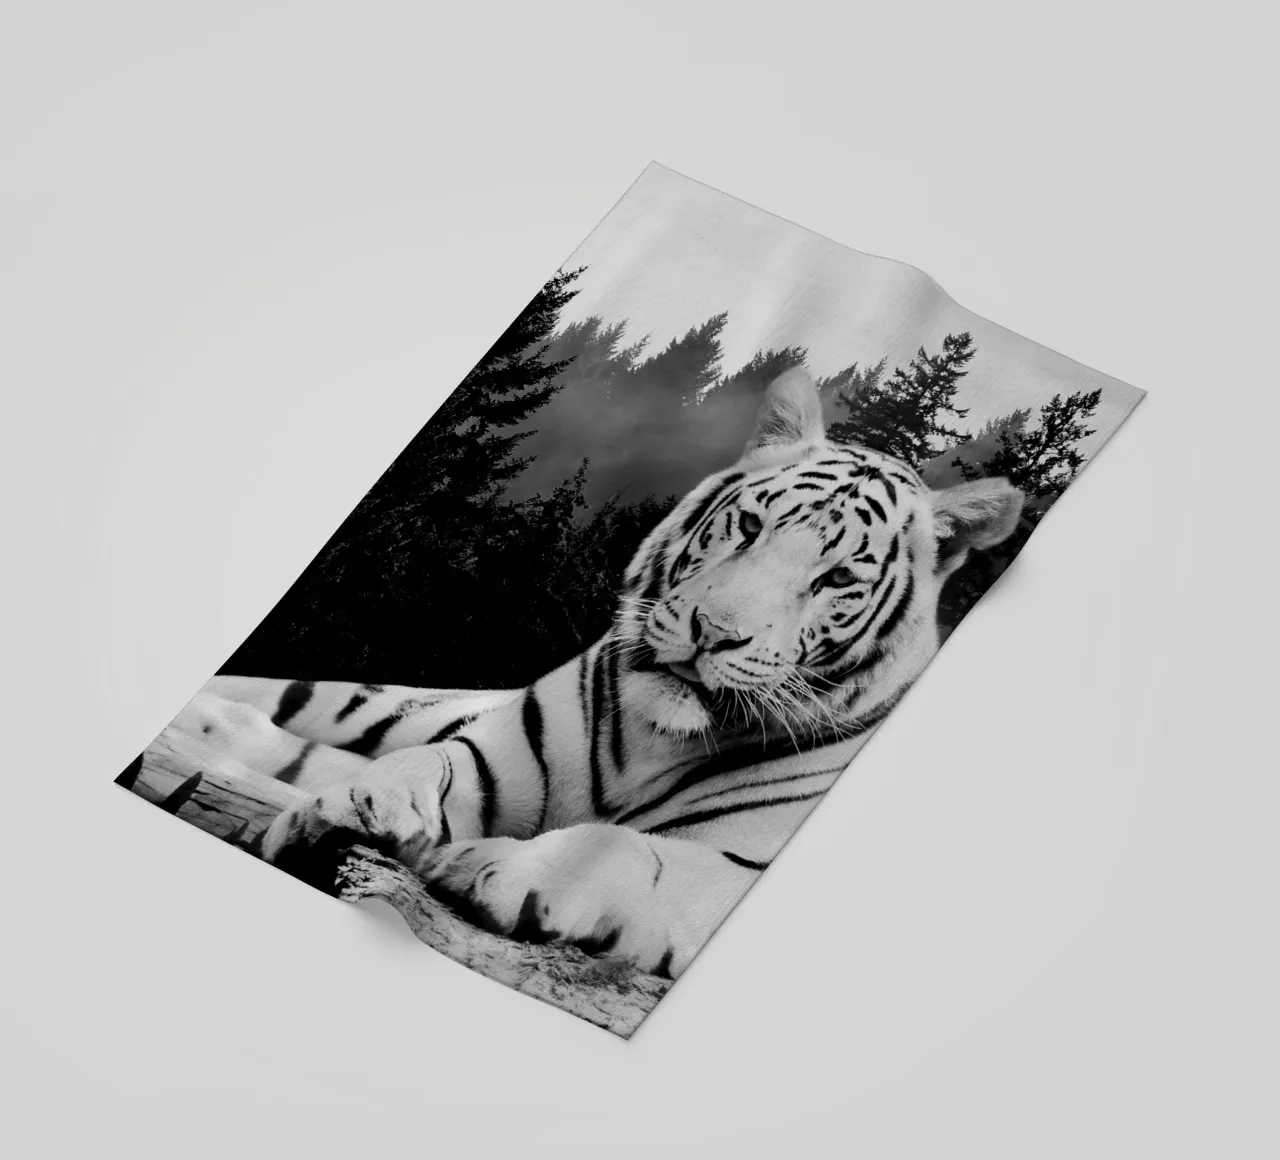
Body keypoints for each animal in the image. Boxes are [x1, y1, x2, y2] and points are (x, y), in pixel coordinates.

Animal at [163, 367, 1022, 979]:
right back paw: (216, 724)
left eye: (838, 579)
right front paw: (362, 807)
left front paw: (502, 868)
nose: (714, 633)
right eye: (750, 526)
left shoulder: (738, 863)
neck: (658, 739)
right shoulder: (494, 761)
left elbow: (625, 853)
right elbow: (428, 763)